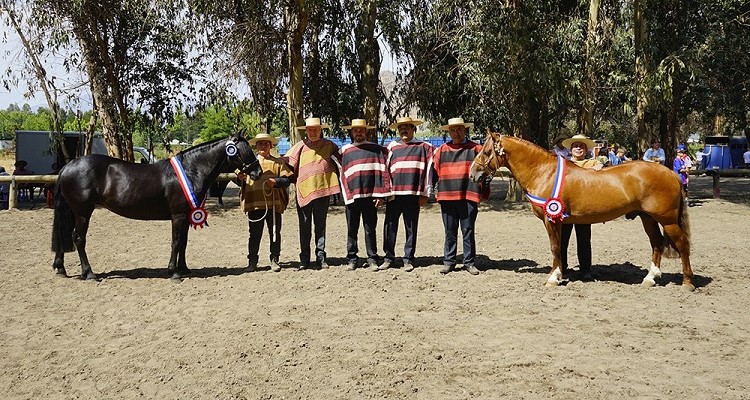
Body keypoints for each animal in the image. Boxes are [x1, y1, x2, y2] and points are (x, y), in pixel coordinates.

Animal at [50, 134, 262, 278]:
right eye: (243, 152)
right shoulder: (178, 215)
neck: (191, 170)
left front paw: (184, 269)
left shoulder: (187, 215)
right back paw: (89, 273)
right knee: (78, 239)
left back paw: (60, 268)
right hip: (83, 212)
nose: (258, 172)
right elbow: (176, 242)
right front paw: (174, 272)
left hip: (74, 212)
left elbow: (184, 243)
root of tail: (67, 167)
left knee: (64, 235)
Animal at [472, 132, 696, 290]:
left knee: (682, 243)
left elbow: (555, 247)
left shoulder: (550, 220)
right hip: (647, 218)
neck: (544, 172)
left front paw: (553, 279)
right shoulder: (558, 221)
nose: (474, 173)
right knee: (656, 243)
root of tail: (671, 174)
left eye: (486, 152)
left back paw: (687, 282)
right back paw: (650, 278)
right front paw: (559, 274)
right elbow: (559, 248)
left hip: (667, 220)